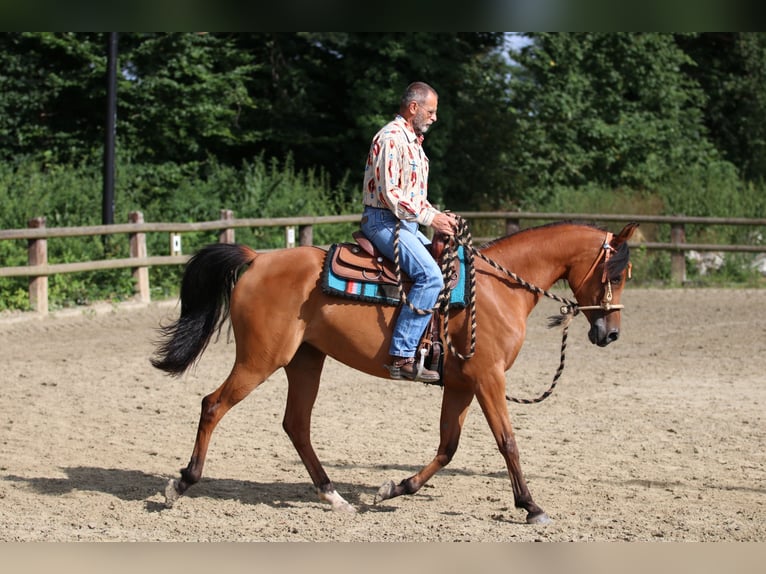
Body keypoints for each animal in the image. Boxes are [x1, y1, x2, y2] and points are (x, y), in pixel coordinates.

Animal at [153, 220, 640, 528]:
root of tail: (257, 259)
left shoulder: (461, 385)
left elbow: (448, 447)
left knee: (296, 425)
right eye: (617, 275)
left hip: (305, 360)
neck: (496, 291)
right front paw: (532, 506)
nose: (612, 333)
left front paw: (393, 488)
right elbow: (507, 441)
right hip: (260, 359)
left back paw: (335, 497)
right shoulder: (488, 379)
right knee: (213, 405)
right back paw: (181, 484)